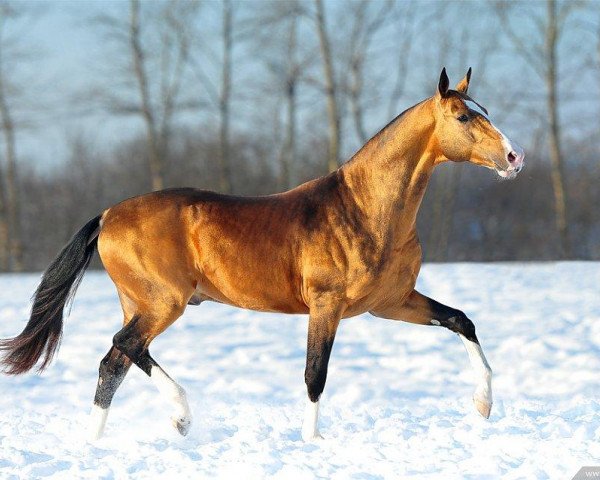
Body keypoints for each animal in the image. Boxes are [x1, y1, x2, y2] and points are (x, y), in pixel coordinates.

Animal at [0, 69, 524, 440]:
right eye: (464, 117)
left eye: (485, 110)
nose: (515, 158)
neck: (365, 210)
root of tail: (108, 214)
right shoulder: (327, 305)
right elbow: (315, 374)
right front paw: (312, 442)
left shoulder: (390, 303)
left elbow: (461, 320)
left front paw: (483, 406)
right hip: (162, 302)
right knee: (121, 351)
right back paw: (175, 420)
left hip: (141, 303)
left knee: (118, 359)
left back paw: (119, 438)